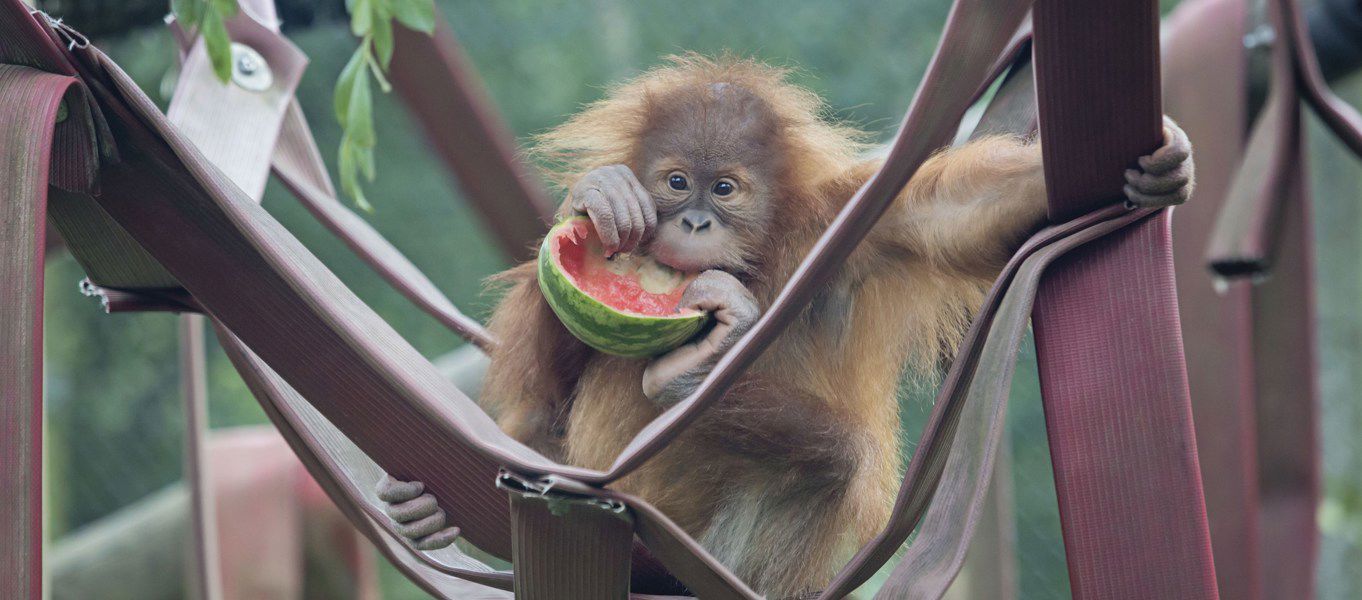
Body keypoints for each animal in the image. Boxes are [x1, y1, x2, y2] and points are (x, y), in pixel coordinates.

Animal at [377, 55, 1195, 598]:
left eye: (725, 189)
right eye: (676, 182)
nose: (694, 221)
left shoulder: (855, 228)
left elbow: (956, 215)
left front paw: (1161, 160)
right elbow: (543, 396)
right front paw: (597, 196)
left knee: (832, 457)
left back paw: (695, 381)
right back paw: (425, 515)